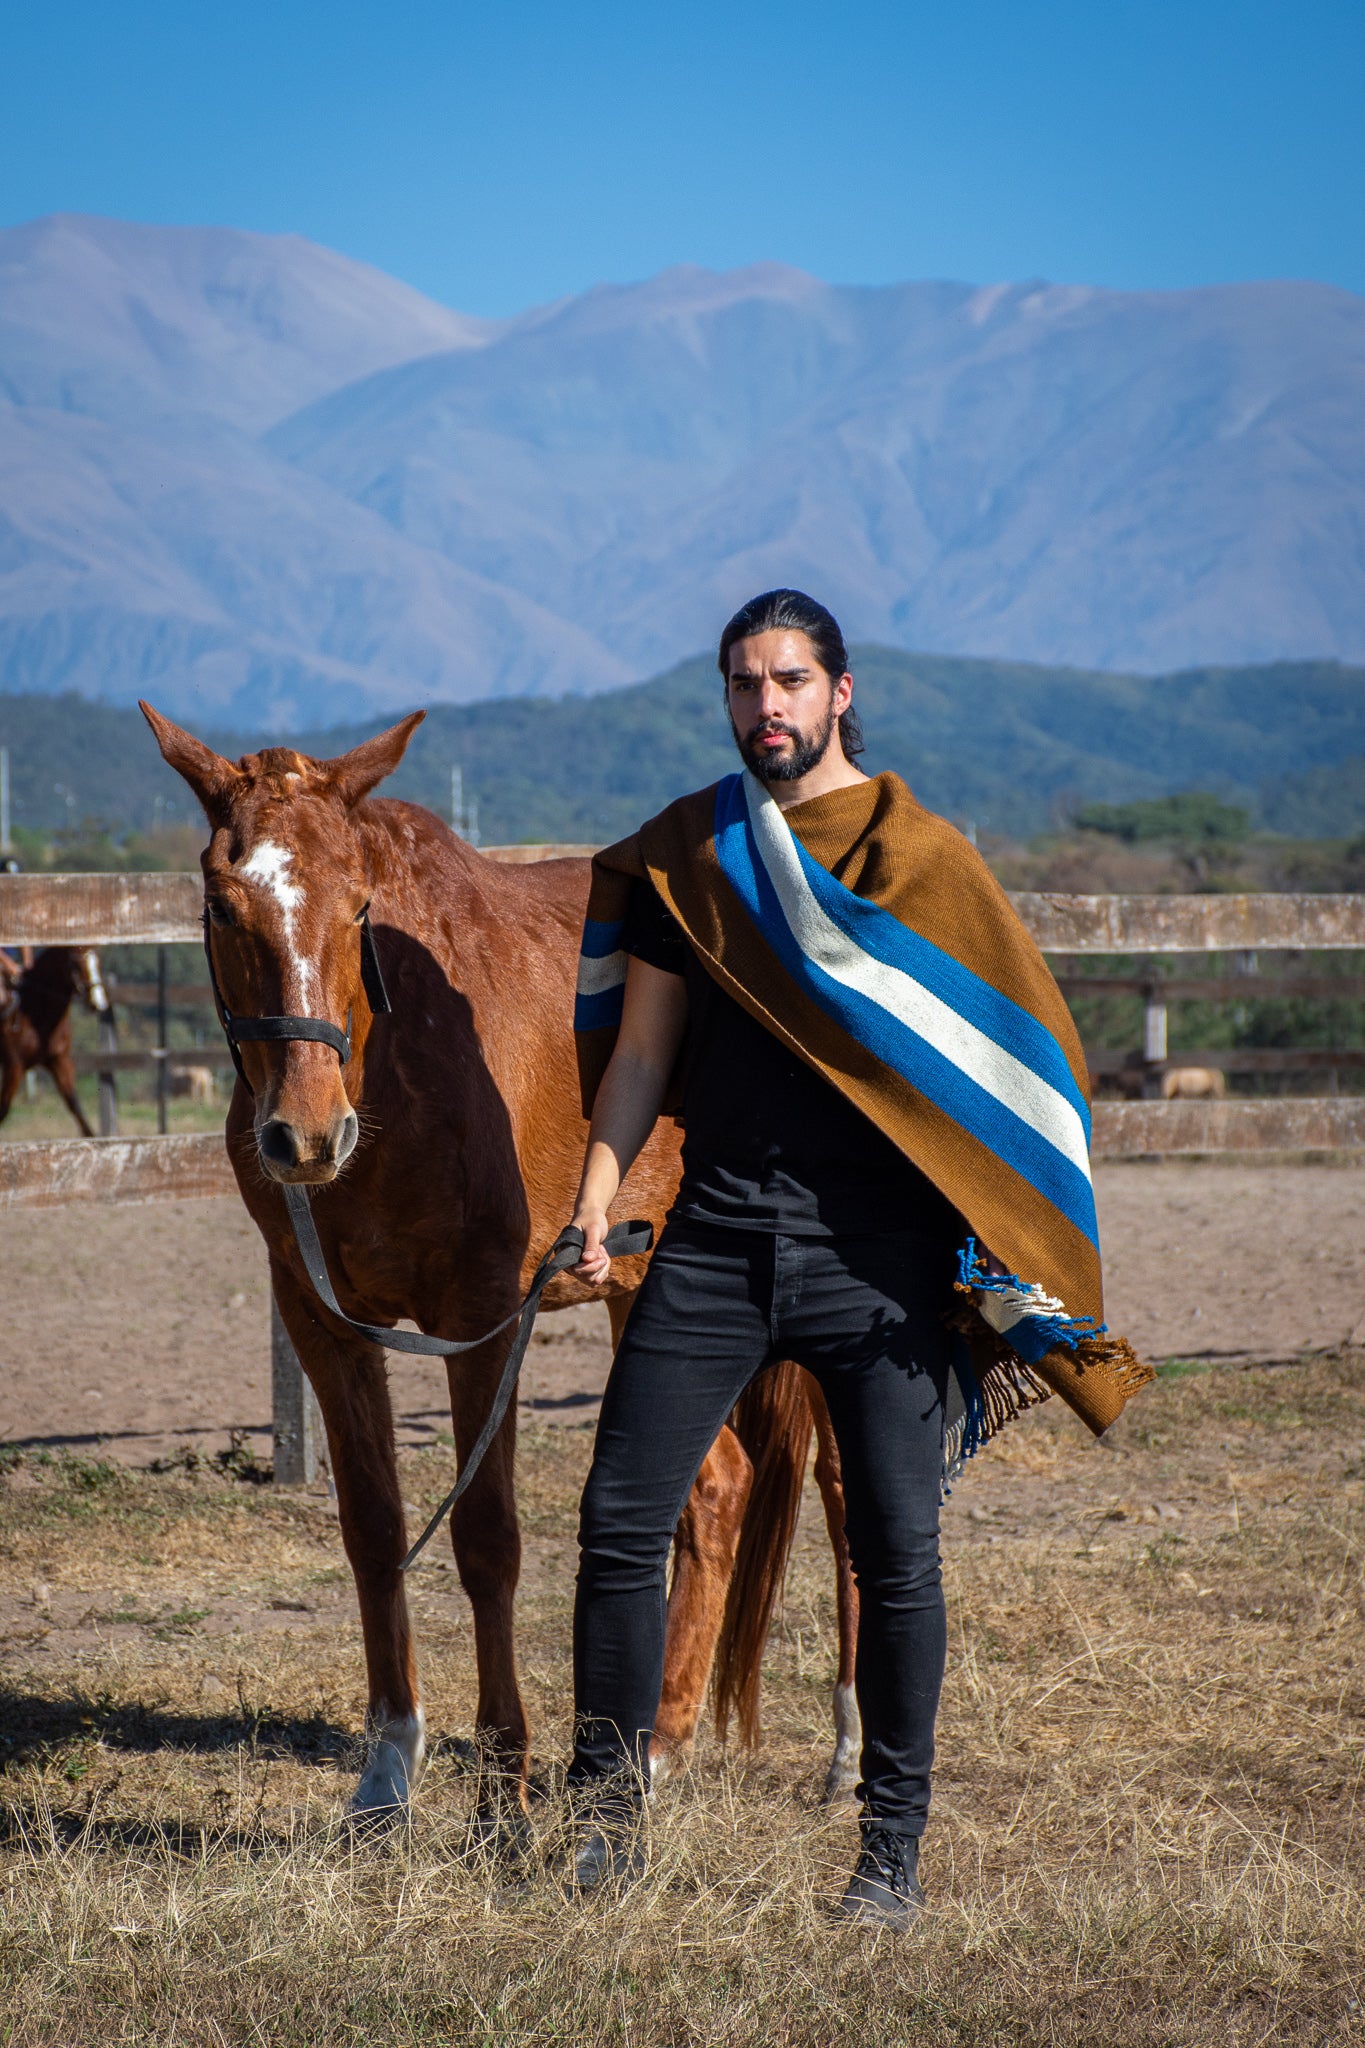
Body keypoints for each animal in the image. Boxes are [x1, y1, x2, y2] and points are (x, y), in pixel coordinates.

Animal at [0, 946, 111, 1138]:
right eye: (76, 964)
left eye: (98, 962)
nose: (99, 1003)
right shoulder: (14, 1065)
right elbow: (3, 1109)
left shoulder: (58, 1060)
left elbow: (74, 1104)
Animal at [144, 704, 859, 1826]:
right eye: (221, 904)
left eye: (358, 904)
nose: (306, 1134)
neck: (394, 1070)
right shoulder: (324, 1323)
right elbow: (373, 1527)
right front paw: (387, 1769)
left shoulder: (479, 1318)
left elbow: (487, 1539)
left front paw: (503, 1786)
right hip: (644, 1289)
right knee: (718, 1487)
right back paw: (660, 1745)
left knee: (836, 1492)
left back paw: (846, 1746)